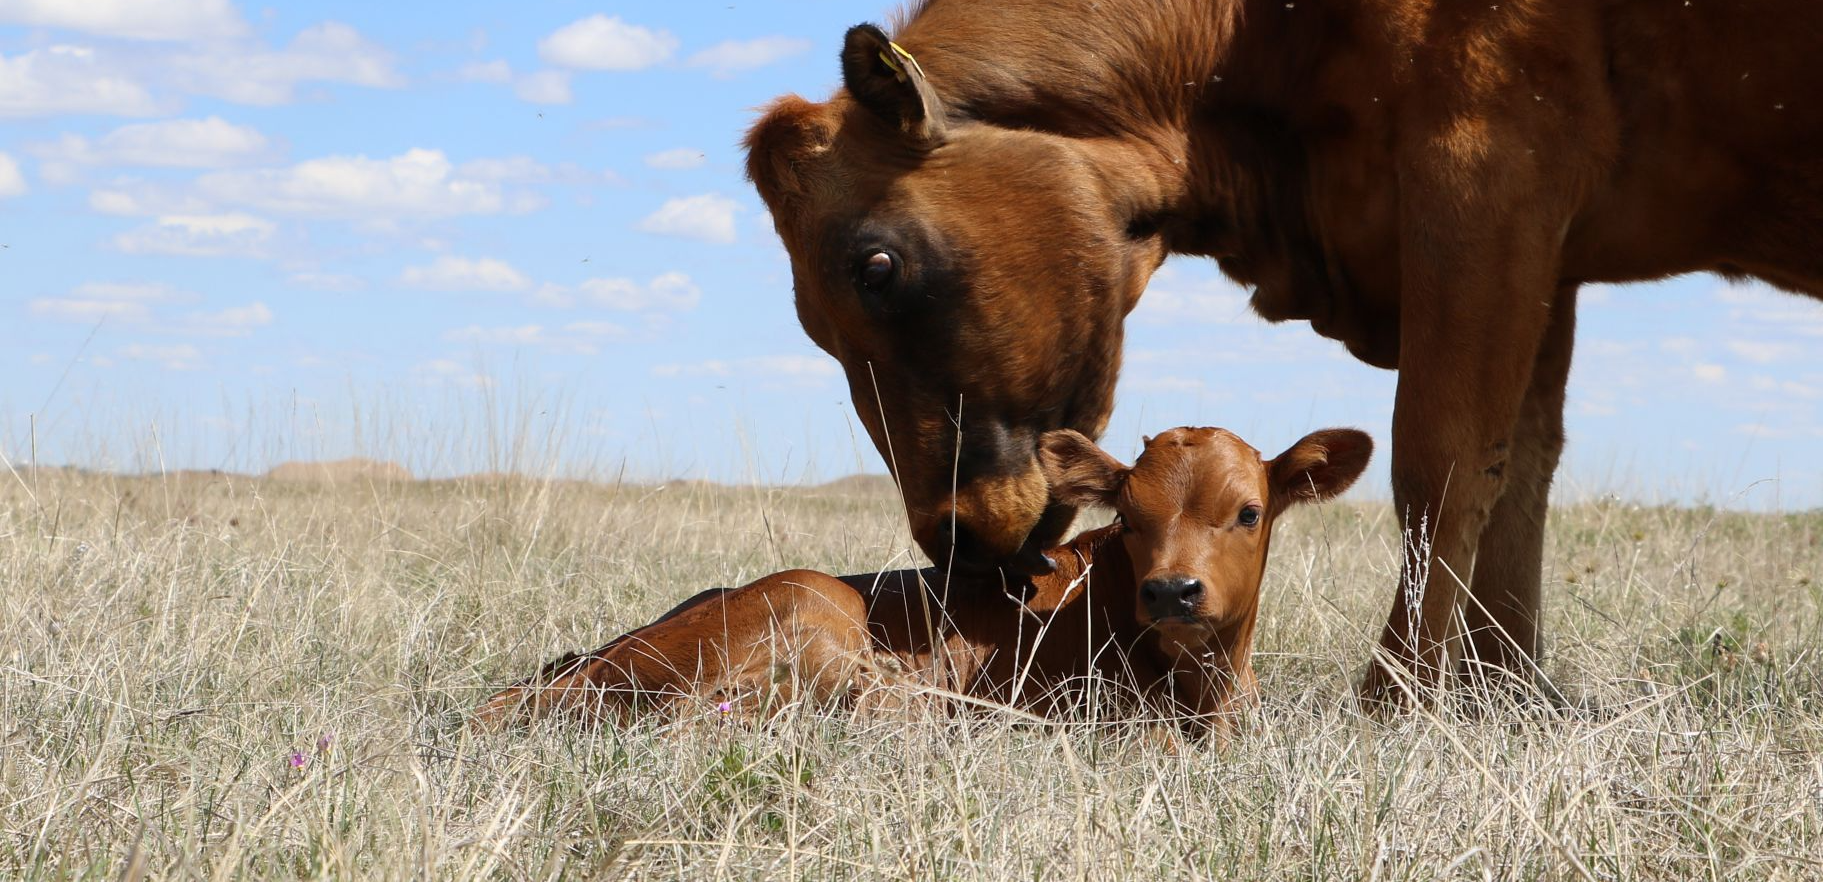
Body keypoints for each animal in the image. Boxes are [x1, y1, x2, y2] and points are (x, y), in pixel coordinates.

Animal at [740, 0, 1823, 703]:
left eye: (875, 265)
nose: (954, 541)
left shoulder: (1485, 164)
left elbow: (1440, 462)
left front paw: (1396, 698)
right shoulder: (1544, 257)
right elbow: (1518, 470)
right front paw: (1503, 692)